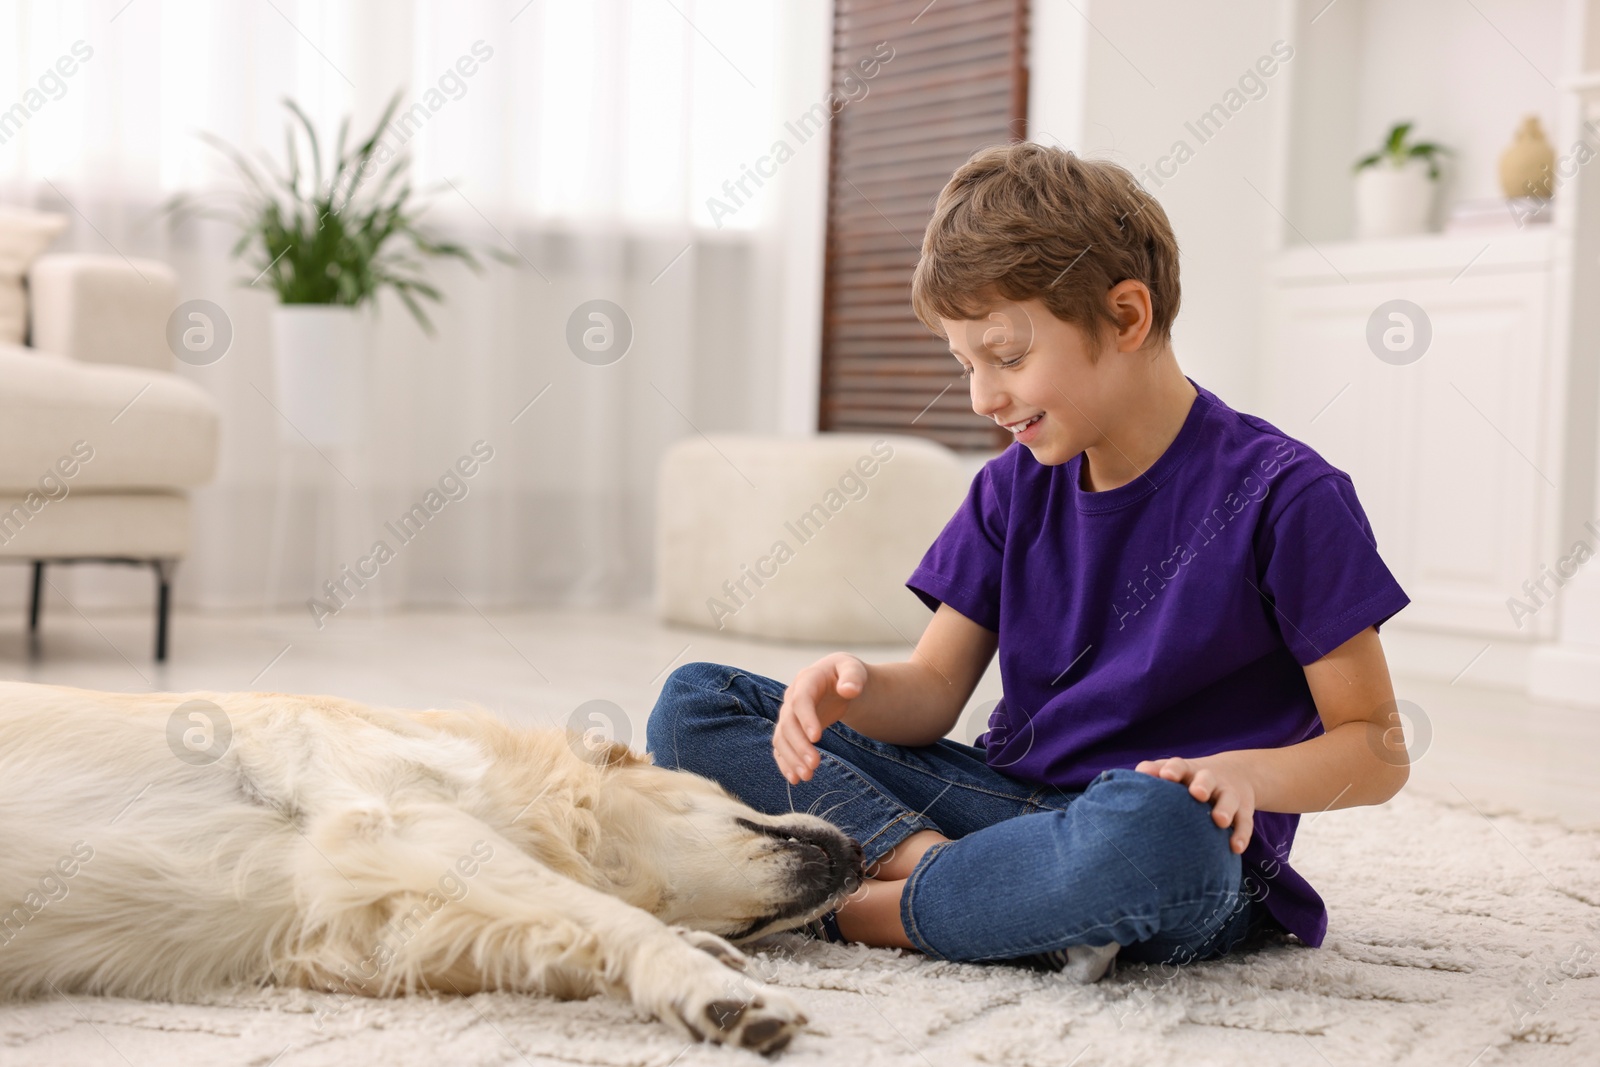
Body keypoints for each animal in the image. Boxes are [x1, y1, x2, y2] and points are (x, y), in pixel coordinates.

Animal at [0, 681, 864, 1055]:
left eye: (751, 925)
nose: (859, 859)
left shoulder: (383, 930)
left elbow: (564, 927)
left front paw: (698, 950)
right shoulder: (397, 820)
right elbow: (610, 913)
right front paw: (708, 982)